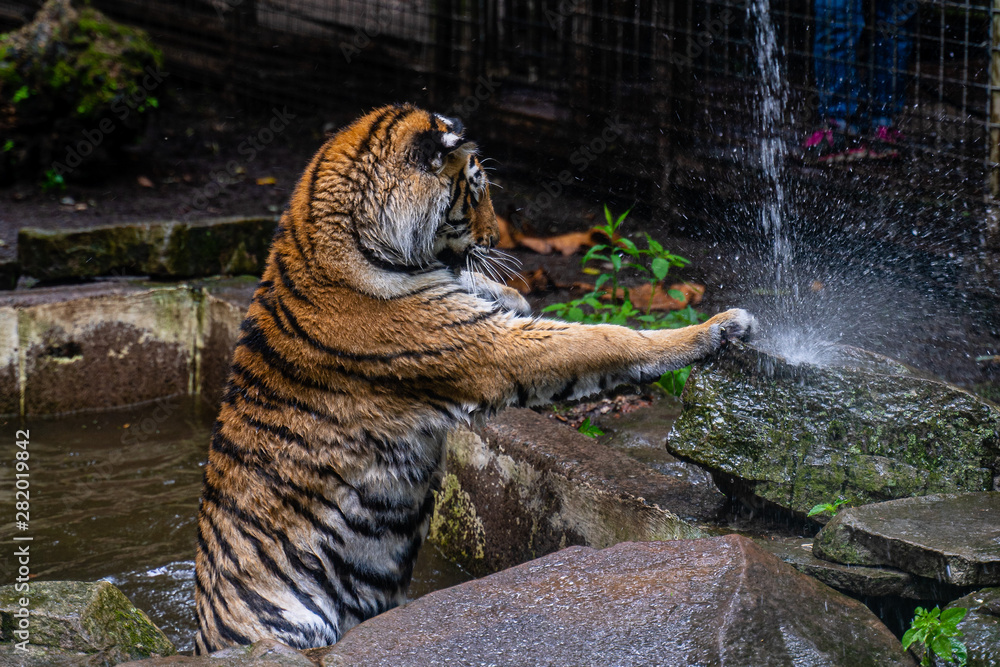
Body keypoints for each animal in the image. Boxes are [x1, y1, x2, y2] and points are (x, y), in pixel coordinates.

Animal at [193, 102, 756, 656]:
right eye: (477, 188)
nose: (494, 239)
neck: (340, 234)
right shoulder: (493, 351)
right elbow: (602, 340)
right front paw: (718, 328)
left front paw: (509, 293)